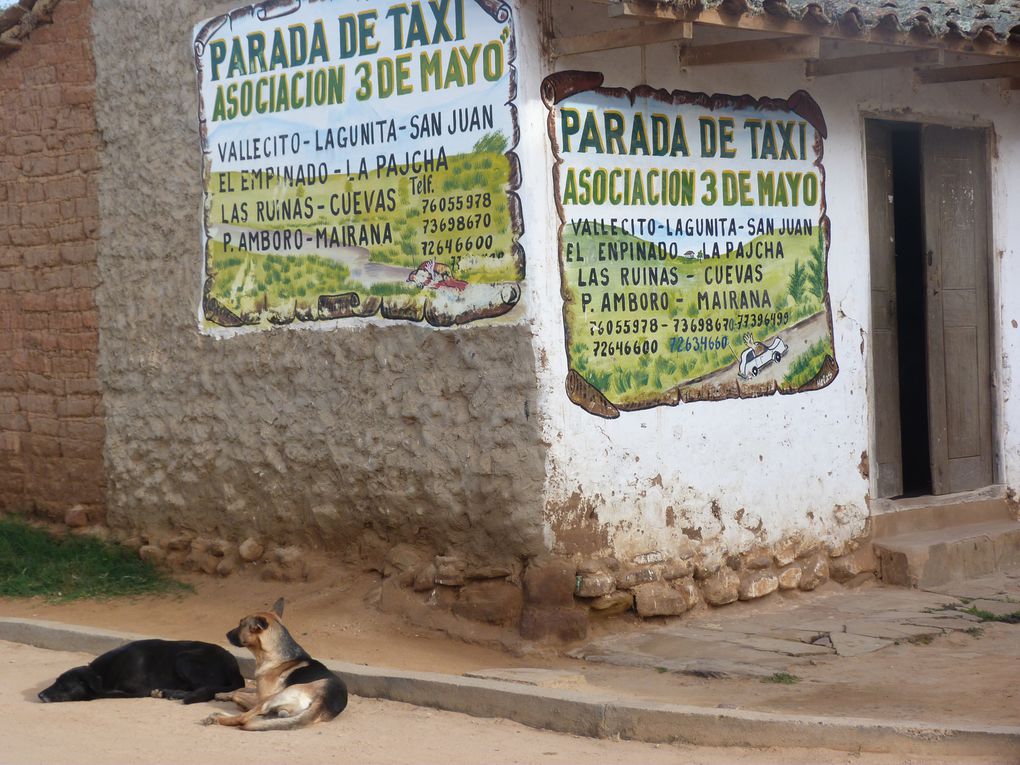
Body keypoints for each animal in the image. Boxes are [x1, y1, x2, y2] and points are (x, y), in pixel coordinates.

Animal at [37, 640, 244, 705]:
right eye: (55, 681)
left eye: (63, 685)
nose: (39, 695)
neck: (103, 673)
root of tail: (235, 667)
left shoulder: (136, 691)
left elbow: (103, 693)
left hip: (184, 658)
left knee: (205, 689)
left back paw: (174, 693)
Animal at [200, 599, 348, 730]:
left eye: (241, 624)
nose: (226, 634)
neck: (274, 653)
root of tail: (324, 701)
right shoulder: (259, 691)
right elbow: (241, 688)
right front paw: (223, 694)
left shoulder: (262, 696)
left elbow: (239, 693)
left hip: (271, 699)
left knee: (244, 718)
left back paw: (217, 717)